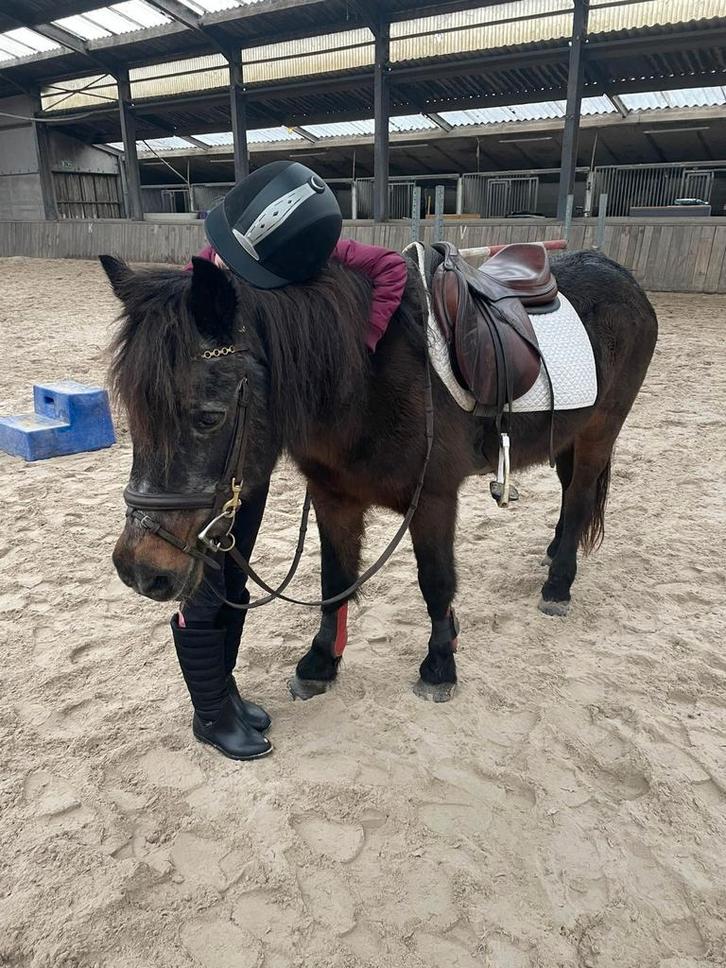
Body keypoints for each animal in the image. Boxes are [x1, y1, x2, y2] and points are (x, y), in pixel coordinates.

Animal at [101, 247, 657, 702]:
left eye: (208, 417)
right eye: (133, 412)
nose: (139, 569)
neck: (365, 382)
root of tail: (623, 276)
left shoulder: (434, 499)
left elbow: (436, 582)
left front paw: (440, 665)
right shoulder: (333, 497)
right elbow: (336, 579)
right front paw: (321, 662)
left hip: (599, 432)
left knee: (581, 495)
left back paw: (558, 583)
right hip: (569, 436)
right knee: (569, 495)